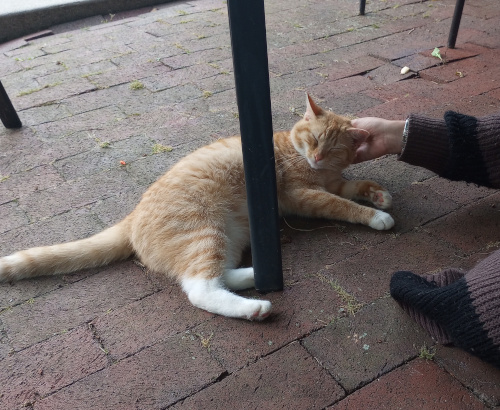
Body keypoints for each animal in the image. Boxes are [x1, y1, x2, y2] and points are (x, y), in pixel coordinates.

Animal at [0, 96, 392, 320]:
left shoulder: (330, 181)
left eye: (332, 147)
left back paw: (257, 274)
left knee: (215, 275)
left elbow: (352, 187)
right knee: (198, 288)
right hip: (204, 232)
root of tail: (131, 218)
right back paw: (253, 306)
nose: (316, 157)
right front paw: (376, 215)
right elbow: (342, 205)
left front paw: (378, 195)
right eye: (312, 139)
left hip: (231, 233)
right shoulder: (303, 195)